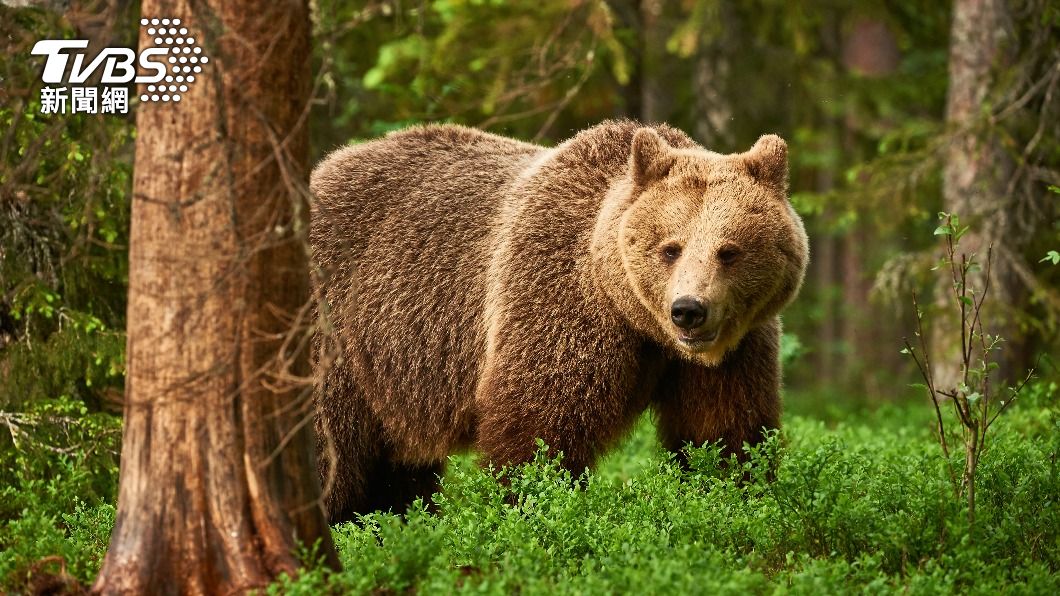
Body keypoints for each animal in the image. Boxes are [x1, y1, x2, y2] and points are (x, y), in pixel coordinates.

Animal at [309, 120, 808, 523]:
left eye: (729, 251)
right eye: (671, 247)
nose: (688, 309)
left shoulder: (736, 350)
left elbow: (723, 431)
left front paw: (731, 495)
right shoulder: (556, 299)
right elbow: (540, 432)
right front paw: (531, 508)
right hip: (339, 330)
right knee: (331, 451)